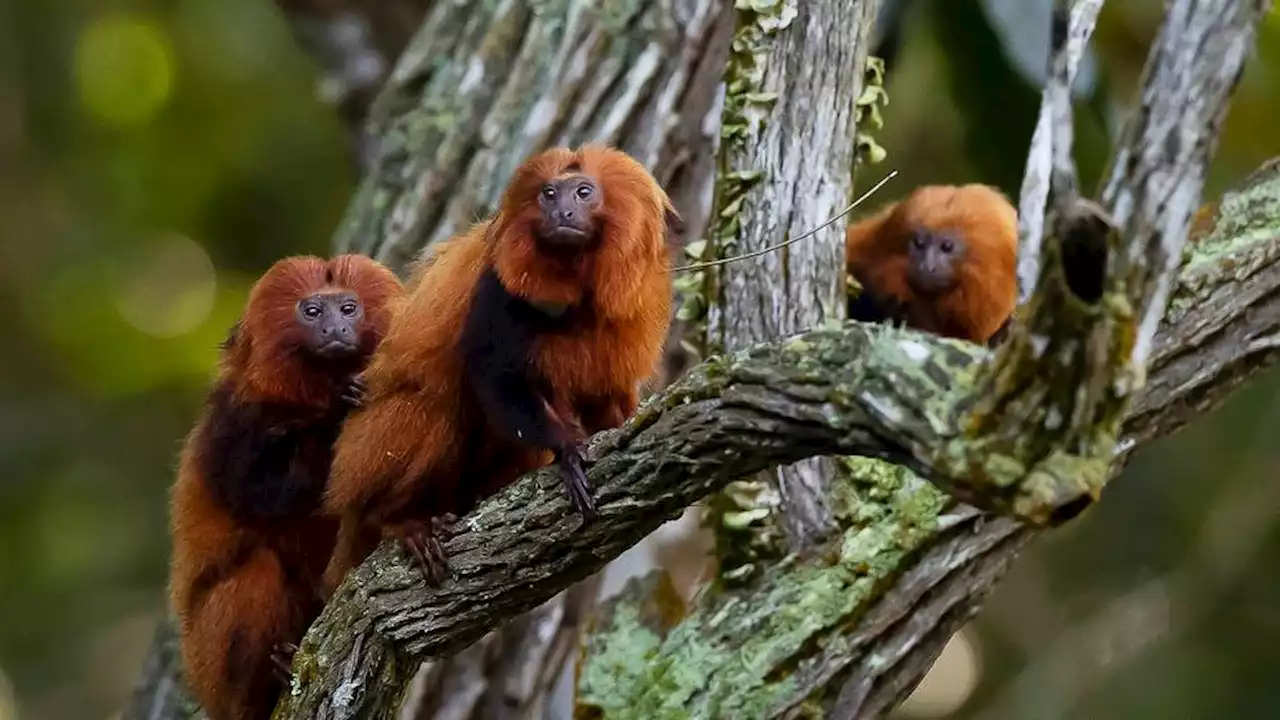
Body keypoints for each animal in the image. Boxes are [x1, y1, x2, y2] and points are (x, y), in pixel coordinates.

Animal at [167, 252, 399, 717]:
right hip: (208, 661)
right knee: (256, 570)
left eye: (348, 308)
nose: (335, 329)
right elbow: (266, 493)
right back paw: (270, 675)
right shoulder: (232, 423)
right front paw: (336, 415)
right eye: (312, 312)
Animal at [320, 144, 680, 589]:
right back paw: (397, 521)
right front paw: (566, 450)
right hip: (361, 458)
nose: (562, 212)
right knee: (434, 405)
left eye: (583, 192)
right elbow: (495, 374)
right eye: (548, 195)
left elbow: (605, 391)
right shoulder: (499, 283)